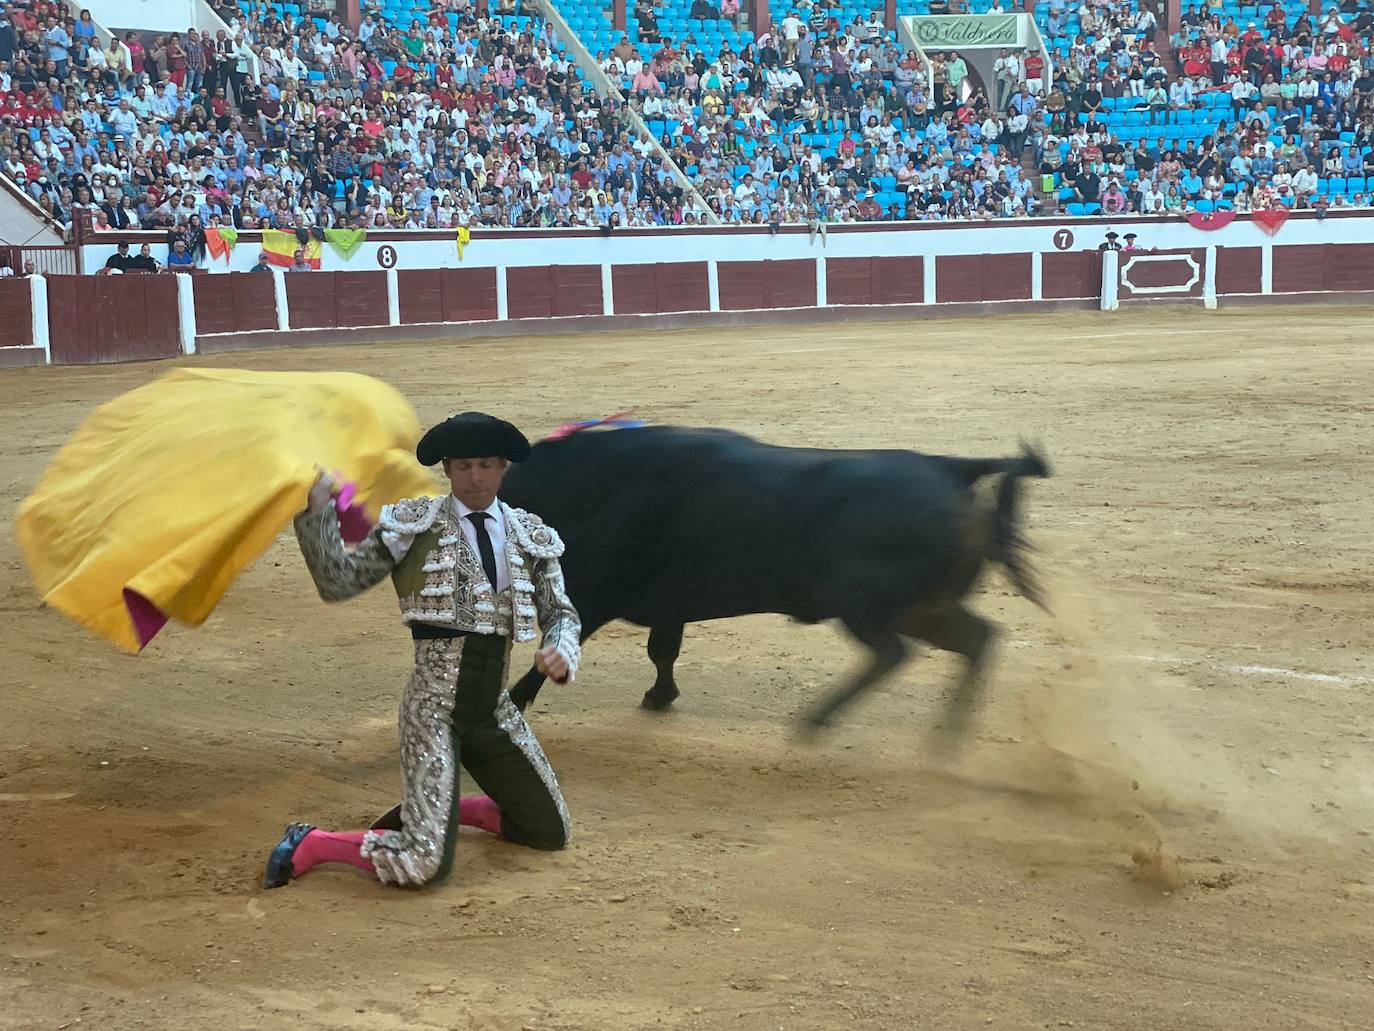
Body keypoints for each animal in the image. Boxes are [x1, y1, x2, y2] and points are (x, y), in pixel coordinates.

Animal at [505, 428, 1049, 736]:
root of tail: (949, 470)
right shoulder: (669, 606)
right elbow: (663, 651)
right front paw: (660, 697)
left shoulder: (599, 593)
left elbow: (557, 651)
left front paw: (514, 700)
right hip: (922, 606)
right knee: (977, 638)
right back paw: (948, 735)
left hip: (868, 604)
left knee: (894, 653)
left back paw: (817, 720)